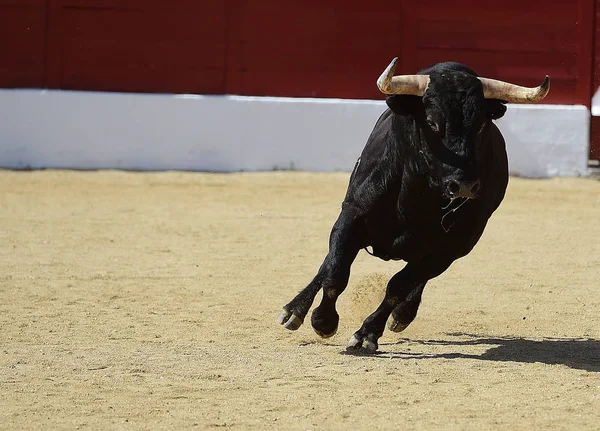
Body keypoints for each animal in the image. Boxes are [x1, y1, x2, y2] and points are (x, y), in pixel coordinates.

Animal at [276, 59, 548, 352]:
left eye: (480, 126)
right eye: (431, 122)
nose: (464, 186)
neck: (414, 198)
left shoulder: (449, 249)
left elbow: (398, 287)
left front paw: (366, 334)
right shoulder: (352, 215)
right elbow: (335, 271)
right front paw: (323, 321)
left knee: (415, 280)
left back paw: (403, 315)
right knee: (329, 263)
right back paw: (293, 311)